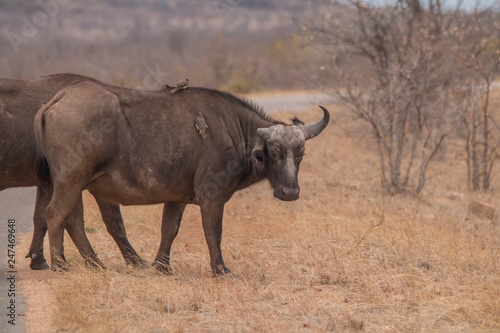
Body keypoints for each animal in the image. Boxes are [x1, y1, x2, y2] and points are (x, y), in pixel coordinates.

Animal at [0, 74, 146, 268]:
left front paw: (38, 259)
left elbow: (41, 217)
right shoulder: (96, 183)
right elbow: (114, 222)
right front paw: (135, 260)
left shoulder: (49, 184)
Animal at [37, 80, 330, 272]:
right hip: (70, 181)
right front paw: (220, 269)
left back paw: (95, 264)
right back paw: (60, 264)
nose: (290, 192)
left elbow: (169, 229)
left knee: (73, 221)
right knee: (55, 215)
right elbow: (213, 231)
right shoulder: (212, 197)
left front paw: (162, 267)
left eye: (300, 154)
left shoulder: (176, 198)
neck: (233, 131)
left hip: (76, 185)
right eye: (275, 154)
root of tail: (58, 100)